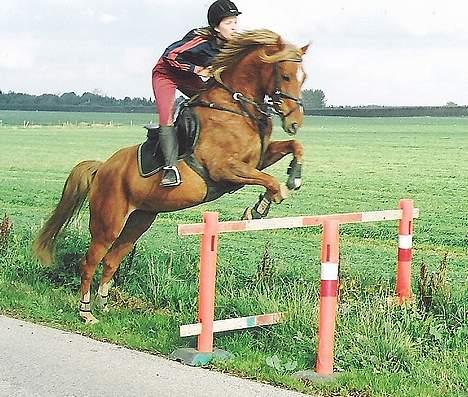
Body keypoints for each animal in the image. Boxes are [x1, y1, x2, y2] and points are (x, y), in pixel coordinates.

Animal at [33, 30, 310, 322]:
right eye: (286, 76)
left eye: (304, 77)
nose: (294, 123)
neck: (234, 105)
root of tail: (103, 167)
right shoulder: (224, 169)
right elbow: (271, 182)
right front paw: (262, 206)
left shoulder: (257, 159)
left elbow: (293, 148)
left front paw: (288, 182)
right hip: (108, 224)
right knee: (90, 261)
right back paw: (86, 312)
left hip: (138, 221)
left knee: (111, 260)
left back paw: (104, 304)